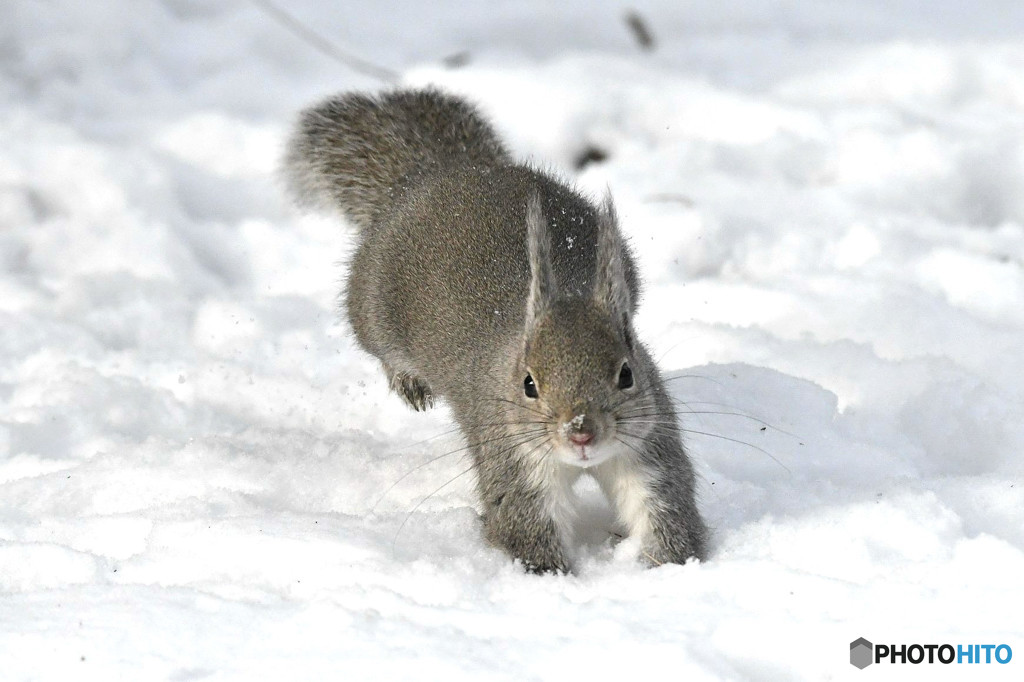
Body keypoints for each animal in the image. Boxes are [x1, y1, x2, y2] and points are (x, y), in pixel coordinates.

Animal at [284, 87, 708, 569]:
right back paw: (409, 381)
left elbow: (663, 508)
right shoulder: (511, 459)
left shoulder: (648, 448)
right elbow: (525, 527)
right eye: (529, 384)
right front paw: (553, 575)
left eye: (626, 374)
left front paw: (666, 566)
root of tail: (438, 173)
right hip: (371, 308)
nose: (581, 431)